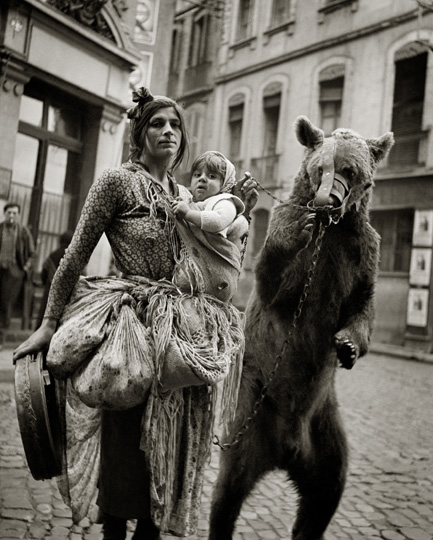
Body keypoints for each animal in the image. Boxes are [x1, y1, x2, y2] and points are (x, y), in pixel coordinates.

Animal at [208, 116, 394, 536]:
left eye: (350, 170)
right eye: (319, 168)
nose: (327, 201)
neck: (330, 229)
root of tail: (286, 450)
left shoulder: (359, 252)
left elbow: (363, 305)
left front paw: (348, 346)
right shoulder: (301, 247)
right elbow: (274, 279)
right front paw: (293, 236)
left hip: (324, 425)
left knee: (327, 489)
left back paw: (306, 526)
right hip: (251, 408)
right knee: (229, 489)